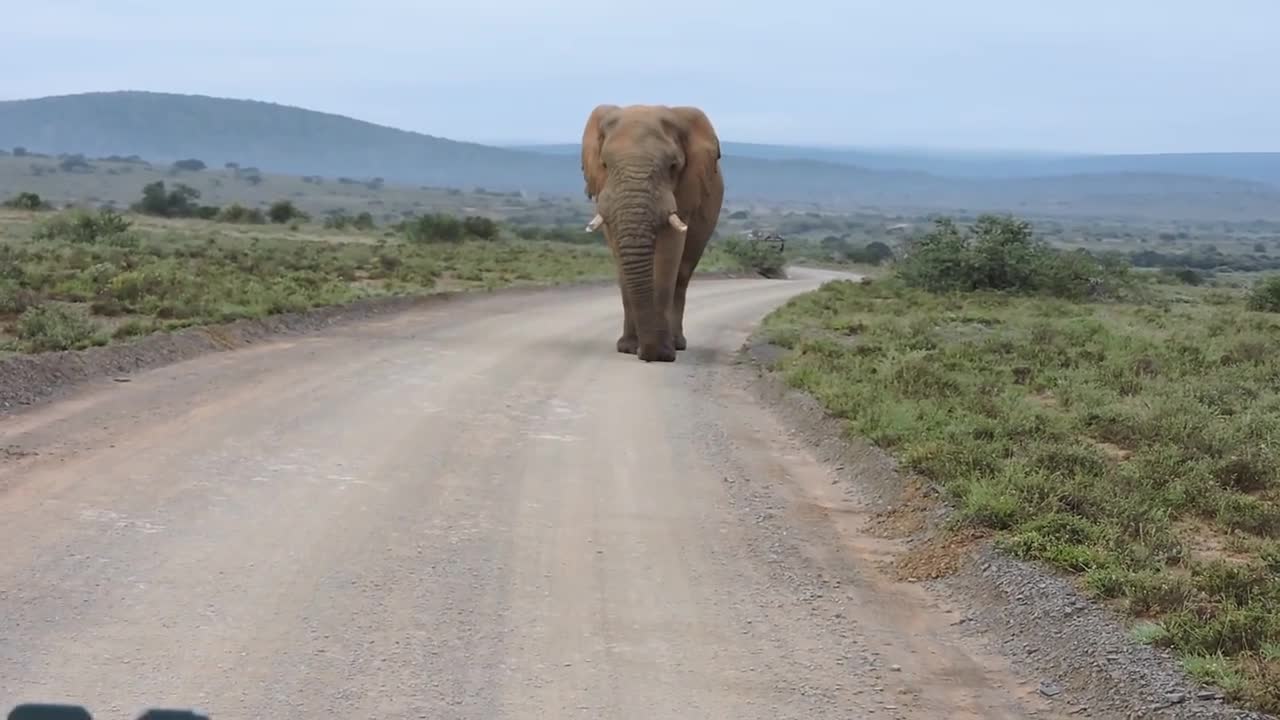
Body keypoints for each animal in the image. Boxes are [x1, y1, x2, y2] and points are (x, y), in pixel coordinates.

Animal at [583, 102, 727, 358]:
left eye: (673, 166)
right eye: (605, 165)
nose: (647, 353)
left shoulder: (685, 191)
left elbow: (669, 252)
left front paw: (661, 354)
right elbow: (620, 257)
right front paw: (628, 348)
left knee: (683, 274)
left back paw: (677, 343)